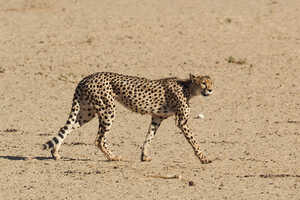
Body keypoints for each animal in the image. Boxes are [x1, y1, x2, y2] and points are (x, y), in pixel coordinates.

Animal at [42, 72, 213, 164]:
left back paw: (55, 153)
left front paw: (144, 156)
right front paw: (204, 158)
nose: (211, 90)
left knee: (66, 128)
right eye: (203, 83)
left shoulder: (157, 117)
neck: (188, 88)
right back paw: (112, 157)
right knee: (99, 139)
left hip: (87, 112)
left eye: (211, 82)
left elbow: (149, 137)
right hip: (108, 109)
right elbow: (194, 141)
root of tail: (86, 77)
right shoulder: (181, 121)